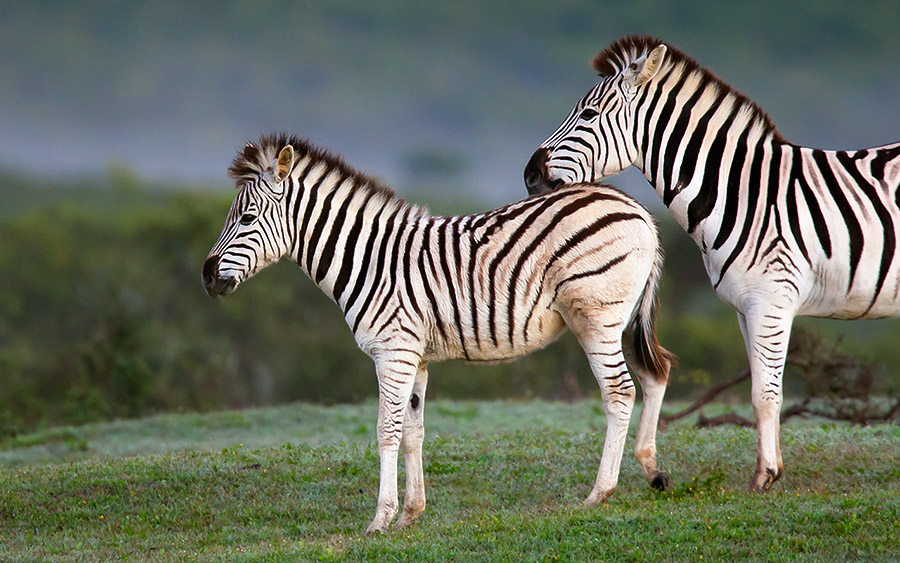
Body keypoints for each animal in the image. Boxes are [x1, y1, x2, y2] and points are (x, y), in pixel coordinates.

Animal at [203, 133, 674, 534]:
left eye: (247, 217)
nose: (206, 276)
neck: (369, 261)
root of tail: (634, 206)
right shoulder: (417, 357)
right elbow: (414, 432)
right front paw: (410, 514)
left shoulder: (393, 351)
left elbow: (386, 431)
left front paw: (380, 520)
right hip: (622, 317)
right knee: (655, 373)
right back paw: (651, 469)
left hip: (595, 315)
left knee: (620, 391)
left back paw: (600, 492)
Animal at [523, 34, 900, 493]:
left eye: (589, 114)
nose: (530, 175)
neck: (743, 194)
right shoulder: (746, 307)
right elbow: (762, 388)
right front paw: (772, 469)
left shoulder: (771, 301)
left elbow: (765, 395)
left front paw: (763, 478)